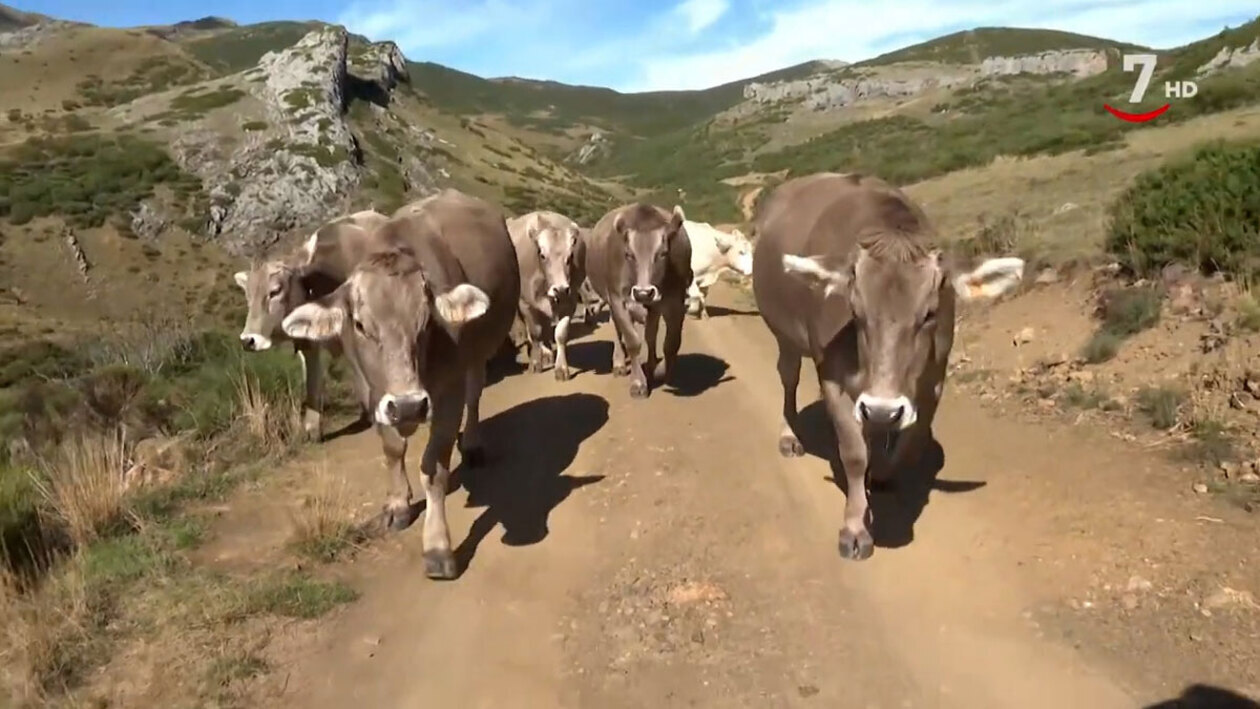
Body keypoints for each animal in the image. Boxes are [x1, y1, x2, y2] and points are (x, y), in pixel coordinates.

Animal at [231, 207, 385, 438]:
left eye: (275, 291)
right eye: (247, 296)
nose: (248, 340)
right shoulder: (307, 345)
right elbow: (312, 380)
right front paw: (312, 428)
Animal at [282, 190, 521, 581]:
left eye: (426, 322)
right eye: (360, 325)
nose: (409, 406)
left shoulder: (447, 394)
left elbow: (434, 469)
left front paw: (438, 547)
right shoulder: (372, 391)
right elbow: (392, 449)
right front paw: (398, 504)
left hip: (477, 354)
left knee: (475, 395)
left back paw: (471, 443)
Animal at [504, 207, 587, 380]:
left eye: (570, 256)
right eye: (542, 255)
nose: (560, 289)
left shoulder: (569, 302)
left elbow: (560, 334)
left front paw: (561, 368)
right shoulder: (526, 303)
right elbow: (535, 333)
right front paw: (535, 363)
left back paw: (548, 353)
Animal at [584, 202, 695, 400]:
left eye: (663, 253)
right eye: (629, 254)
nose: (644, 292)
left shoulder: (675, 302)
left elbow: (671, 343)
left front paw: (659, 371)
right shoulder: (618, 299)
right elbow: (633, 341)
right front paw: (638, 383)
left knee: (651, 335)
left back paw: (651, 364)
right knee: (617, 329)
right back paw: (619, 363)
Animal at [745, 172, 1023, 561]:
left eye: (930, 314)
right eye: (855, 311)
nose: (880, 408)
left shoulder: (933, 381)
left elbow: (910, 439)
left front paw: (882, 473)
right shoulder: (832, 378)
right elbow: (853, 453)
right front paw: (855, 527)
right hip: (782, 333)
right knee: (789, 377)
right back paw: (790, 434)